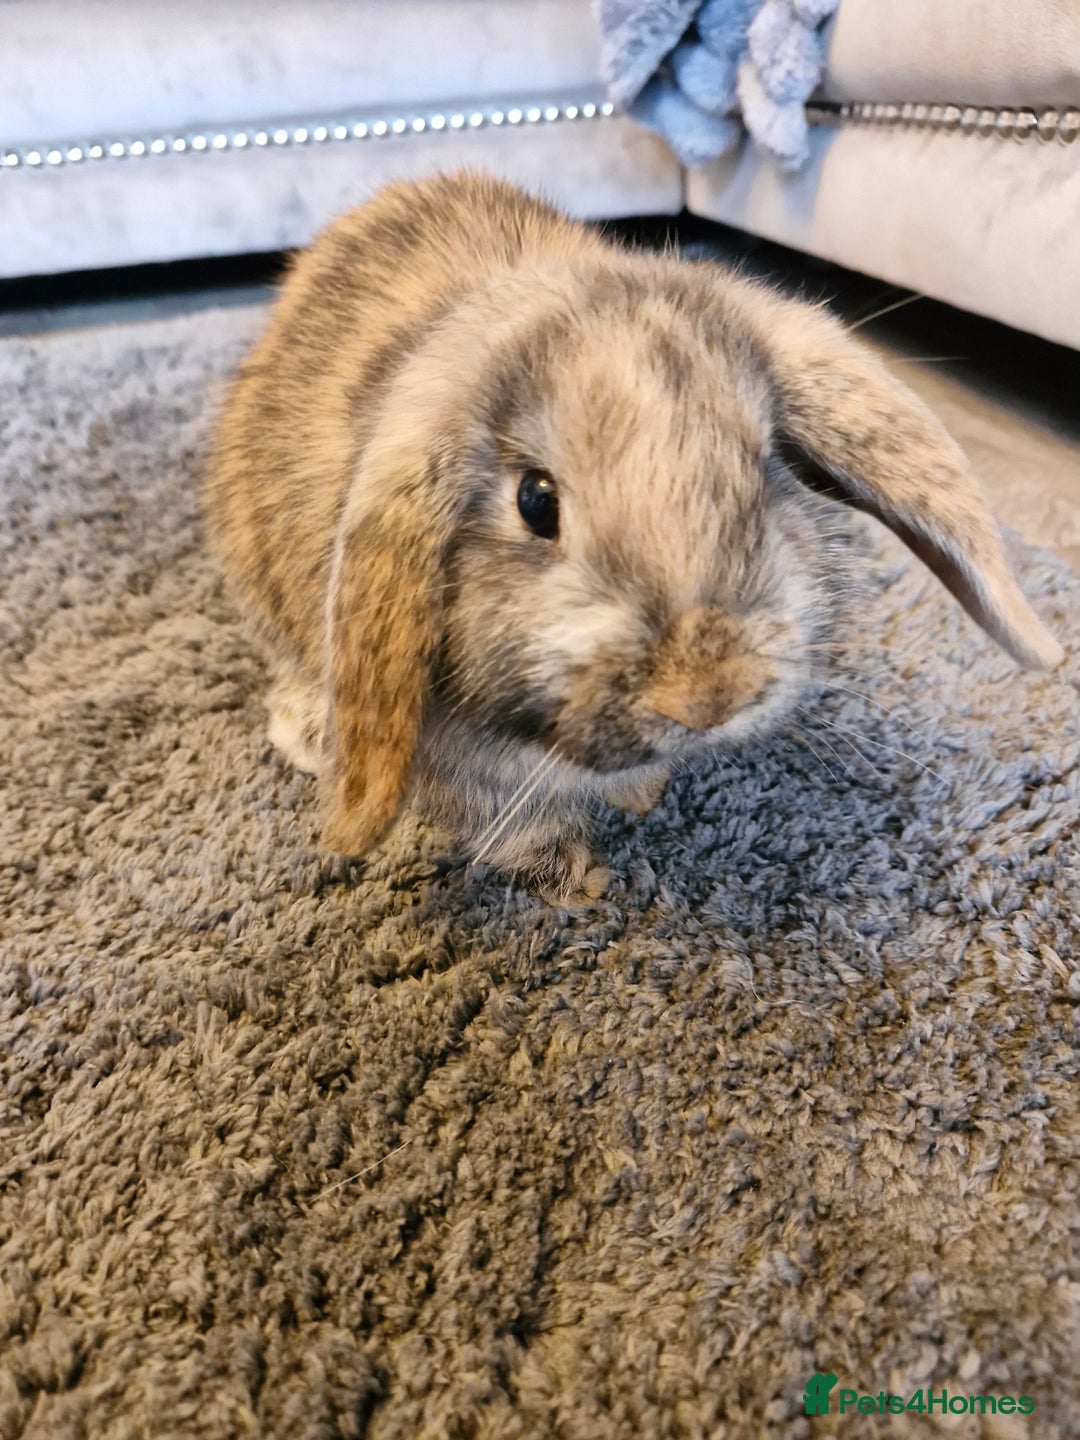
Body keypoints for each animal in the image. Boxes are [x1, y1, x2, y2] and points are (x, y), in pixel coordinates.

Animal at [204, 170, 1062, 904]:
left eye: (765, 465)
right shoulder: (468, 777)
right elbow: (516, 833)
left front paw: (644, 797)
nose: (709, 694)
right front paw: (581, 885)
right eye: (536, 500)